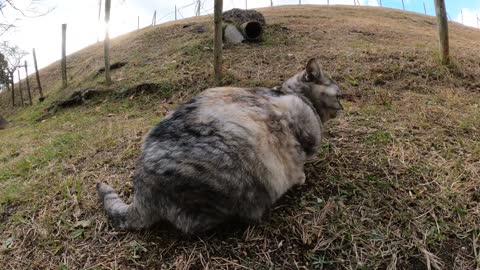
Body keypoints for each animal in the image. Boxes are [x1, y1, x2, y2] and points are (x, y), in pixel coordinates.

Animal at [97, 57, 344, 234]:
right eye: (339, 95)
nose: (343, 106)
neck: (292, 93)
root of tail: (142, 188)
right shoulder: (302, 133)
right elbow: (301, 161)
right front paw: (301, 177)